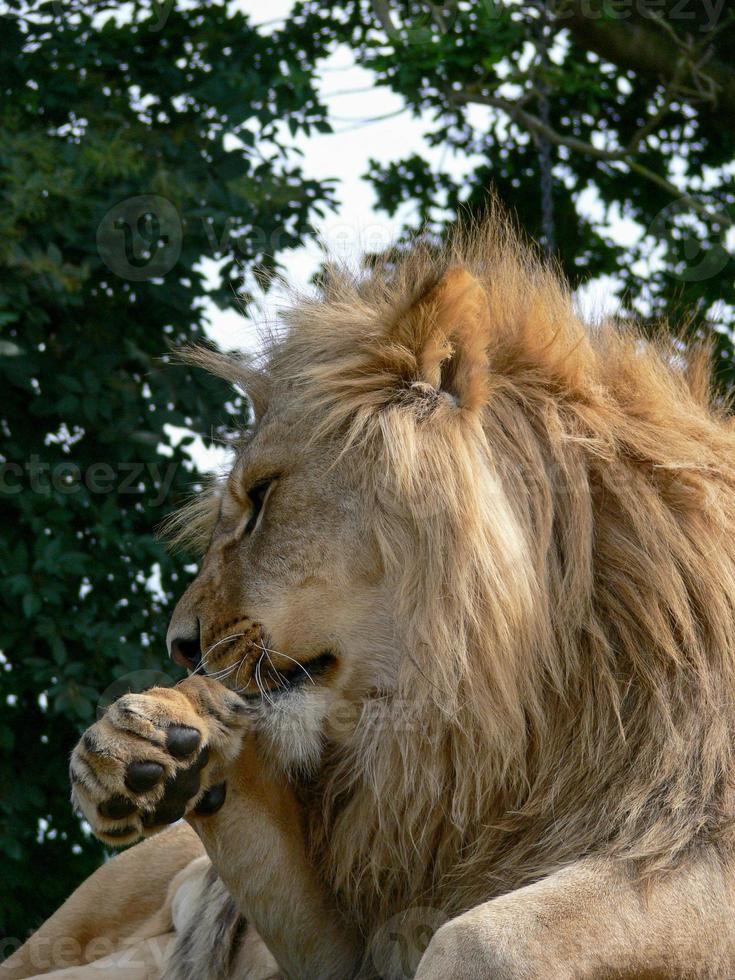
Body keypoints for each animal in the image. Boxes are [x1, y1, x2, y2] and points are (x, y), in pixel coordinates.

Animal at [8, 216, 735, 980]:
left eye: (261, 497)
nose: (180, 646)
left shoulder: (689, 836)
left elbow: (483, 936)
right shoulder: (354, 943)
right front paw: (144, 739)